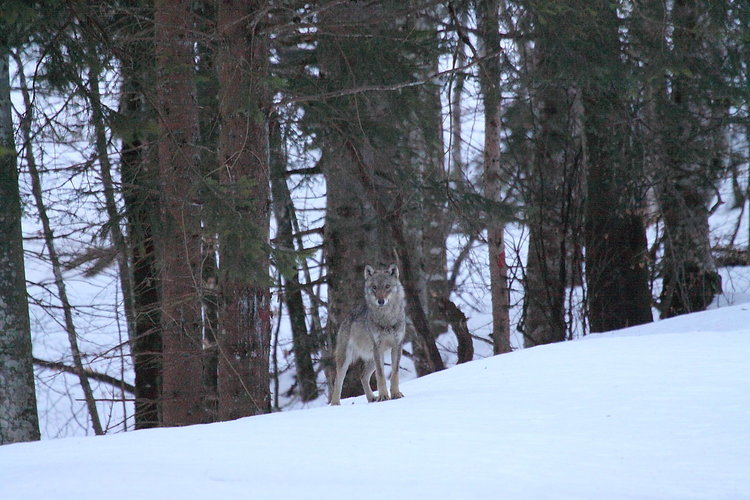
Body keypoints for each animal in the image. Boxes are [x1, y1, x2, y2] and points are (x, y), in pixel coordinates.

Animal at [329, 263, 406, 405]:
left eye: (387, 286)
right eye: (374, 287)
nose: (380, 301)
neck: (387, 320)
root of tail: (346, 317)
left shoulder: (397, 346)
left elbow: (395, 374)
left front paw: (395, 394)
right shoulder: (378, 347)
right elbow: (381, 376)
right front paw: (383, 396)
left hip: (374, 358)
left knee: (362, 375)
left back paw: (371, 398)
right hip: (348, 358)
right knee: (338, 380)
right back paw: (335, 403)